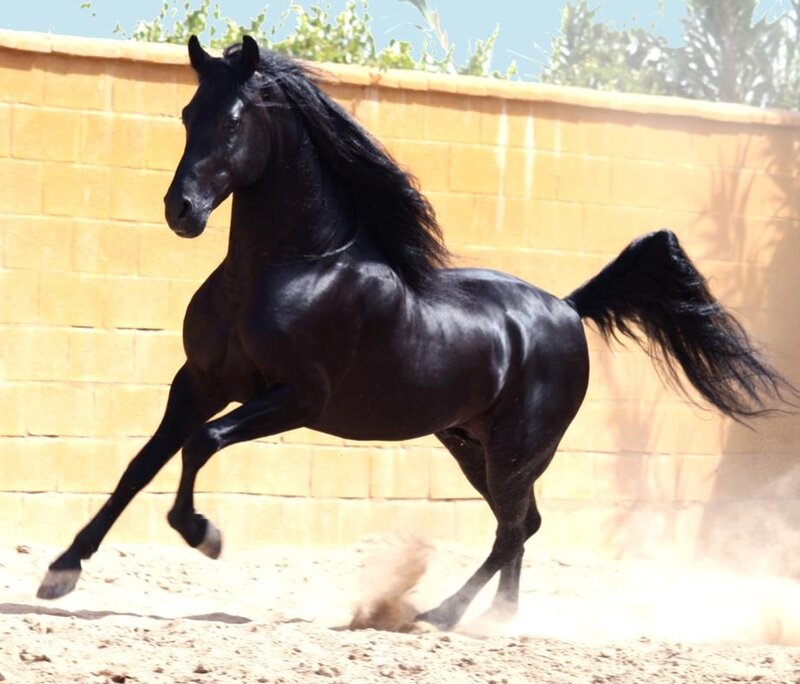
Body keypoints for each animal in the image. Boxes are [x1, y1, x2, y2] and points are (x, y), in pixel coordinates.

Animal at [37, 35, 794, 630]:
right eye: (187, 113)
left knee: (514, 527)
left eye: (231, 121)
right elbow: (140, 465)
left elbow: (201, 444)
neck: (293, 267)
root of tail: (568, 307)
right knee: (522, 526)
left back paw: (449, 616)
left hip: (518, 447)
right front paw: (61, 571)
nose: (182, 210)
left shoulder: (295, 399)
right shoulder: (197, 382)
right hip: (469, 443)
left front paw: (205, 534)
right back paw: (481, 618)